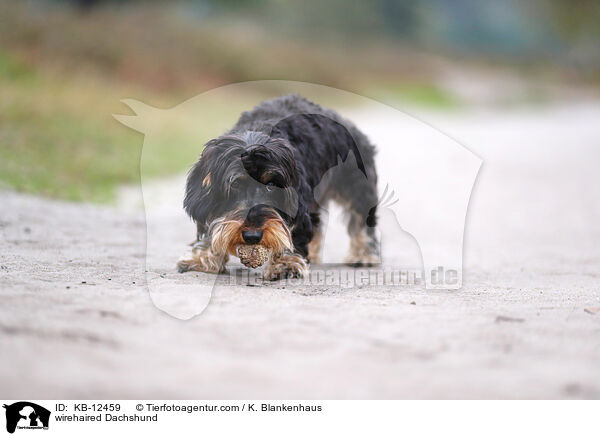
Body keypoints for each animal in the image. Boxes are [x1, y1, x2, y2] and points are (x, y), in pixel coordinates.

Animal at [176, 93, 380, 282]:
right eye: (235, 184)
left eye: (272, 185)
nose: (252, 236)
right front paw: (204, 257)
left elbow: (292, 230)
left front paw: (285, 263)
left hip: (356, 187)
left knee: (362, 220)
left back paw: (364, 255)